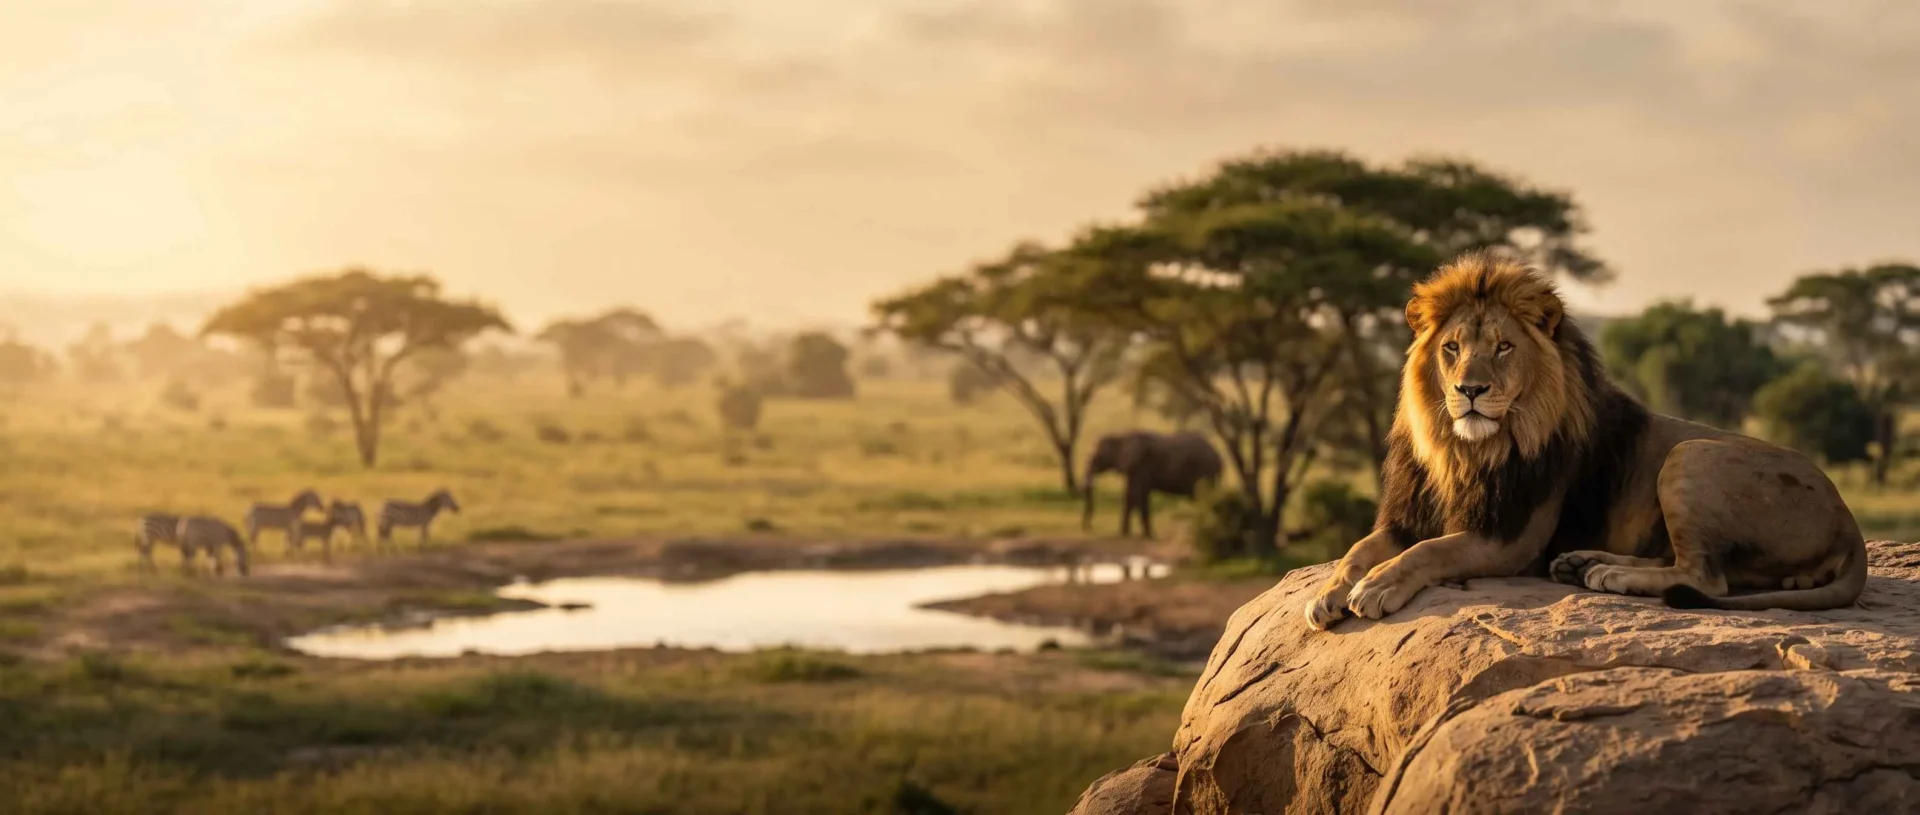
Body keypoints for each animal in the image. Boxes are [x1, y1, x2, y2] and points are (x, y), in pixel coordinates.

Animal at [1081, 430, 1225, 539]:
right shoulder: (1133, 469)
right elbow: (1130, 496)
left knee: (1205, 499)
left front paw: (1148, 536)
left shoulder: (1140, 465)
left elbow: (1138, 495)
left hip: (1206, 472)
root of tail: (1219, 457)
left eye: (1096, 457)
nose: (1089, 528)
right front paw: (1124, 534)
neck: (1122, 437)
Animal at [1304, 251, 1867, 630]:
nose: (1470, 390)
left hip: (1689, 454)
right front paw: (1328, 594)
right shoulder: (1408, 516)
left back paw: (1609, 576)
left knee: (1708, 577)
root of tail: (1849, 519)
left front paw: (1378, 586)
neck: (1465, 451)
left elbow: (1430, 552)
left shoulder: (1509, 537)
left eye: (1503, 347)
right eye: (1452, 348)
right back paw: (1584, 563)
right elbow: (1358, 548)